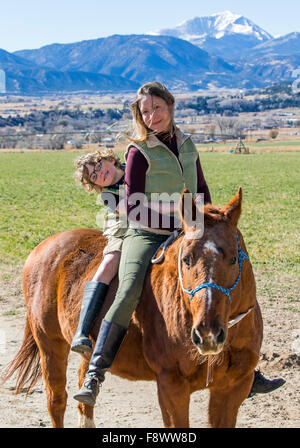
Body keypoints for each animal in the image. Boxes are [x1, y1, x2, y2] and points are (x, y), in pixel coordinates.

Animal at [2, 187, 262, 428]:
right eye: (186, 259)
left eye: (233, 259)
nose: (208, 333)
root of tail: (44, 246)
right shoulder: (172, 386)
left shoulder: (232, 388)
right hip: (49, 344)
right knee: (56, 401)